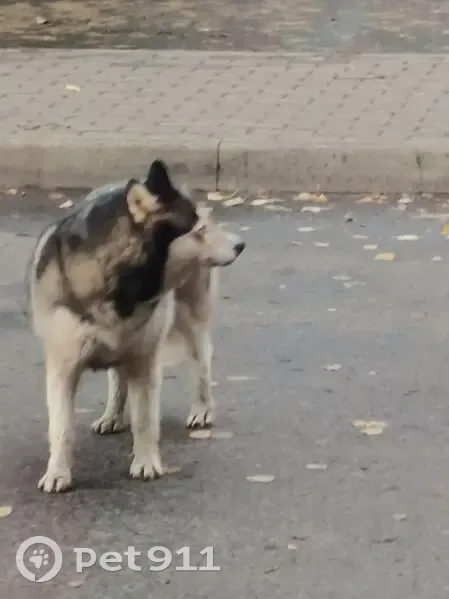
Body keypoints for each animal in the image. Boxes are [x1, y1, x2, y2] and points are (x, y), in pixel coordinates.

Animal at [27, 160, 245, 492]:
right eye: (199, 230)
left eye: (206, 224)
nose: (241, 245)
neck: (121, 284)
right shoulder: (63, 367)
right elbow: (62, 428)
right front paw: (58, 472)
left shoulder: (145, 361)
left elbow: (145, 420)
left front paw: (146, 462)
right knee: (118, 377)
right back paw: (113, 415)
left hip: (190, 321)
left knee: (202, 363)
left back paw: (202, 408)